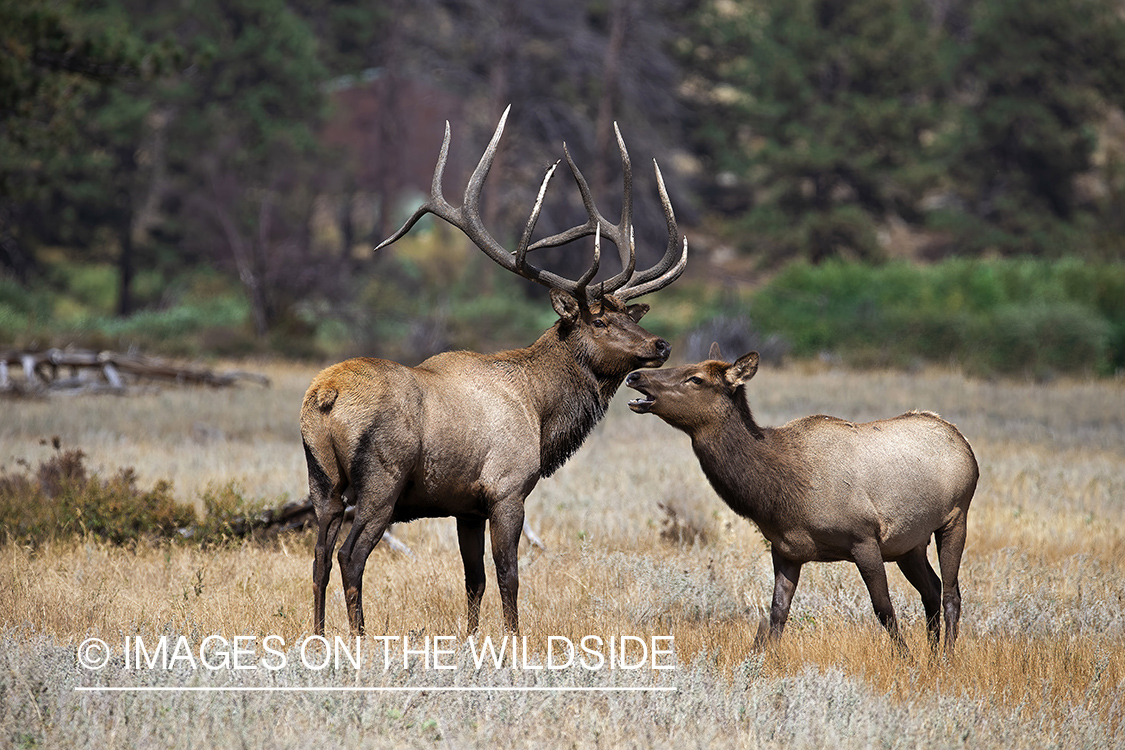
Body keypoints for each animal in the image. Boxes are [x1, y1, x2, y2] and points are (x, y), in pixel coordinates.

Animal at [301, 106, 684, 634]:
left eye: (631, 314)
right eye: (601, 320)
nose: (660, 344)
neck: (541, 412)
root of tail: (327, 396)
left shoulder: (466, 507)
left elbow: (474, 580)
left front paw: (472, 637)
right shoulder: (506, 490)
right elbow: (509, 576)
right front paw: (513, 637)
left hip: (321, 483)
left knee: (318, 558)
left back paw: (319, 636)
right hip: (381, 482)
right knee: (349, 556)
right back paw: (359, 636)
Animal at [625, 344, 976, 652]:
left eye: (696, 378)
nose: (635, 376)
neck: (781, 490)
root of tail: (962, 440)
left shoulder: (864, 538)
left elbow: (883, 609)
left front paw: (906, 659)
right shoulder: (786, 550)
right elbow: (777, 614)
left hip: (956, 516)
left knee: (950, 593)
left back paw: (946, 658)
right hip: (909, 543)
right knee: (931, 590)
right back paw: (933, 655)